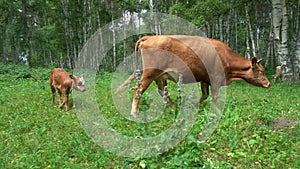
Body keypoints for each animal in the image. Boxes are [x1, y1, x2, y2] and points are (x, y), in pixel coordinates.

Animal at [116, 35, 270, 117]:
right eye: (261, 71)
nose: (268, 84)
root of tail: (150, 37)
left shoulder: (204, 79)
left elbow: (204, 95)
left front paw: (192, 105)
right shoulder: (215, 78)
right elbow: (214, 97)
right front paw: (215, 111)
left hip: (160, 76)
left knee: (162, 91)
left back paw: (174, 107)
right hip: (149, 73)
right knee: (139, 90)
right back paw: (134, 113)